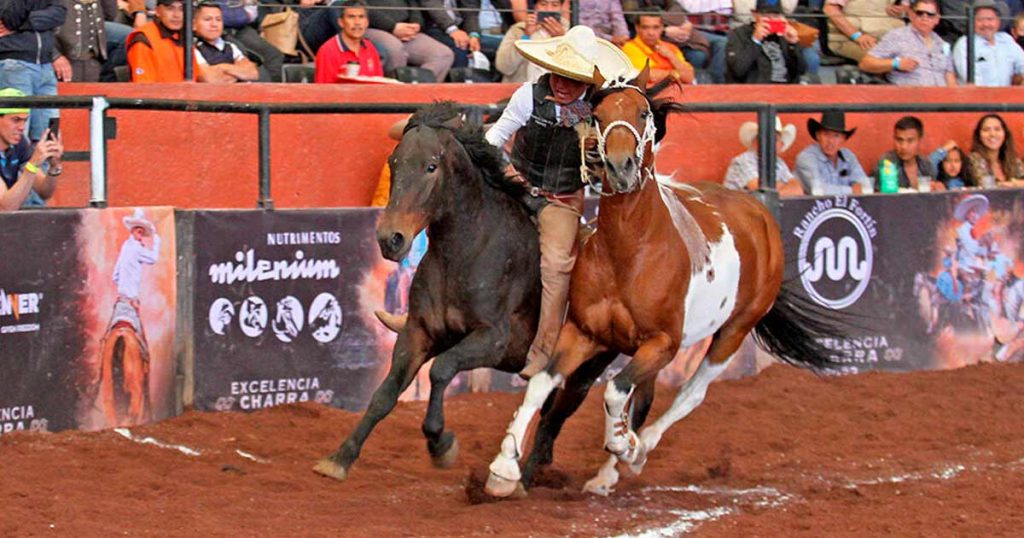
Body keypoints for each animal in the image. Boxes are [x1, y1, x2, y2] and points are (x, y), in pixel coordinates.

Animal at [311, 102, 540, 479]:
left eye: (431, 166)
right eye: (393, 163)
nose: (390, 238)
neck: (465, 252)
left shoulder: (494, 340)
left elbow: (441, 370)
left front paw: (441, 443)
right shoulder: (419, 331)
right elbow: (385, 393)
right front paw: (340, 457)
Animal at [483, 69, 843, 498]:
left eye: (642, 112)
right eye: (598, 115)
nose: (620, 166)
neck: (629, 254)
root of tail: (760, 212)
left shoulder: (663, 342)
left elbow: (615, 391)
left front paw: (625, 443)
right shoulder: (585, 332)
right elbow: (543, 383)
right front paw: (503, 469)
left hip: (735, 330)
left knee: (689, 394)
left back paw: (632, 454)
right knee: (642, 396)